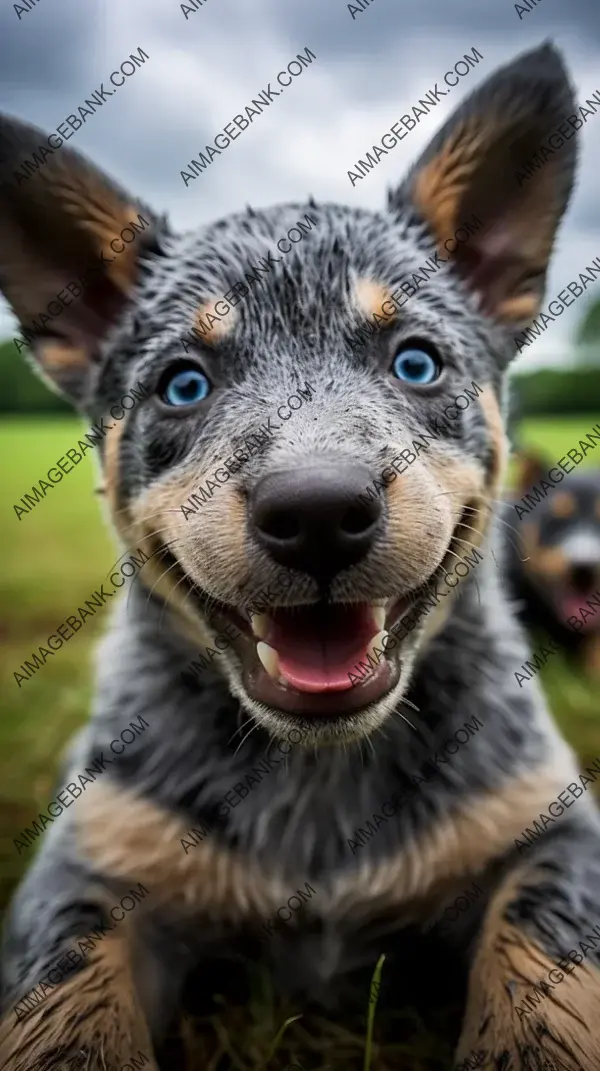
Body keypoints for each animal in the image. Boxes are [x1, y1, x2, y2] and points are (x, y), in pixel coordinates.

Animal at [1, 41, 600, 1071]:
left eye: (416, 362)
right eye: (184, 383)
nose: (319, 510)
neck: (319, 787)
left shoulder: (549, 827)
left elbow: (543, 966)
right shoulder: (91, 858)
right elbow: (66, 1009)